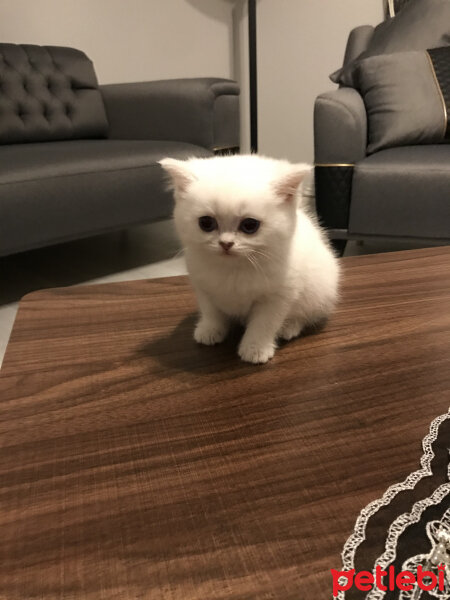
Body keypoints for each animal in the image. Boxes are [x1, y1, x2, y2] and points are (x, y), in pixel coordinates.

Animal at [160, 155, 340, 364]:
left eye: (249, 225)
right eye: (206, 223)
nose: (226, 243)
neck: (234, 268)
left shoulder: (278, 296)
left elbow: (264, 323)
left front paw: (255, 349)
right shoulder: (203, 286)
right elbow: (211, 311)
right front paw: (210, 329)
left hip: (320, 290)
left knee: (306, 314)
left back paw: (289, 327)